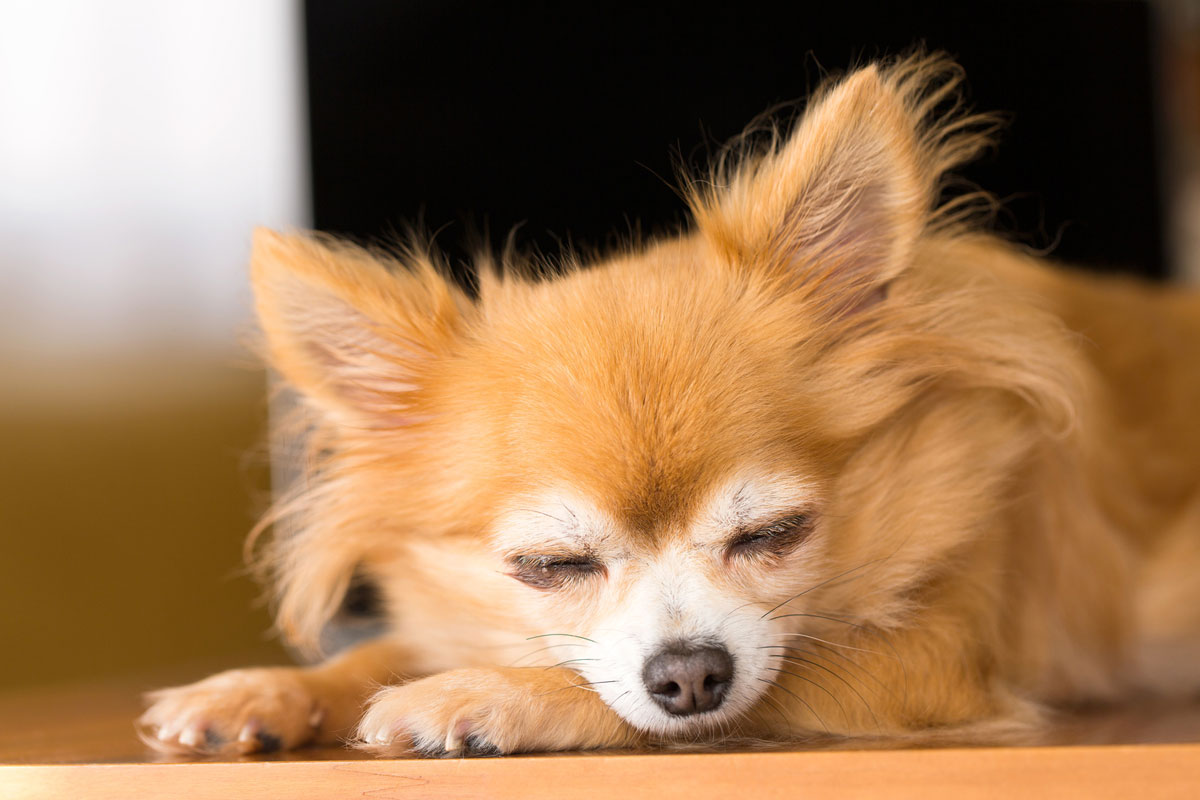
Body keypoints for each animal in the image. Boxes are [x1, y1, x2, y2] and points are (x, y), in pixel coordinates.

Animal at [140, 51, 1200, 758]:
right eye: (552, 566)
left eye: (776, 534)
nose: (689, 672)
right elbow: (397, 645)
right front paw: (264, 689)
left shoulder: (930, 661)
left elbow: (720, 683)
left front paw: (479, 695)